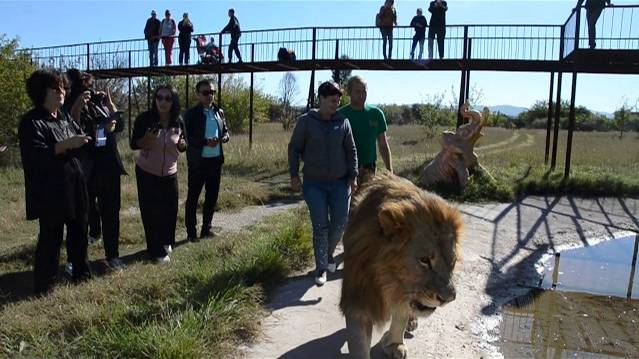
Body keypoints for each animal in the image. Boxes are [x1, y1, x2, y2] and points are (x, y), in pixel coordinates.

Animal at [340, 173, 464, 358]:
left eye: (453, 261)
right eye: (424, 260)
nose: (449, 299)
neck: (387, 282)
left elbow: (400, 318)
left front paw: (394, 344)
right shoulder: (359, 300)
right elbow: (359, 345)